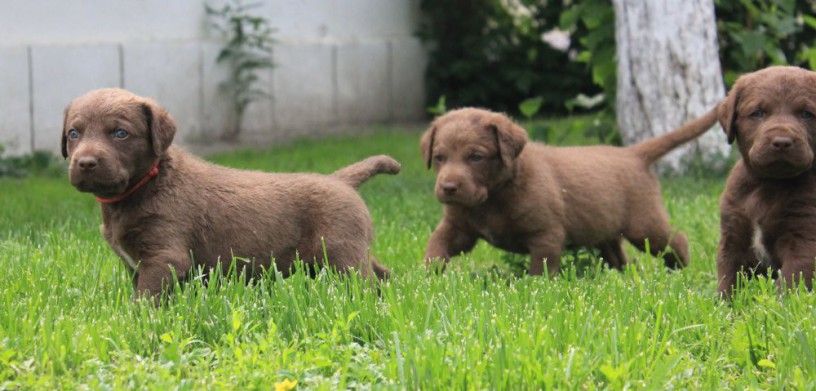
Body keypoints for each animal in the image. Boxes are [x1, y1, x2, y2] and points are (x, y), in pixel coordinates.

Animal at [61, 89, 398, 302]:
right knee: (381, 272)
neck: (149, 181)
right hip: (343, 253)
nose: (85, 163)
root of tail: (340, 180)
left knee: (364, 283)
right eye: (73, 134)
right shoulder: (137, 263)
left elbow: (145, 298)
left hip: (341, 252)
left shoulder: (164, 257)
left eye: (120, 134)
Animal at [424, 104, 716, 276]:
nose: (448, 188)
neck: (493, 196)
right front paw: (428, 277)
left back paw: (679, 270)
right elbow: (436, 245)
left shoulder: (546, 234)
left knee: (676, 240)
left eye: (476, 157)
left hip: (645, 225)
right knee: (618, 256)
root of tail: (633, 154)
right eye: (439, 157)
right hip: (605, 231)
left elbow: (540, 271)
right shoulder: (457, 227)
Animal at [716, 66, 812, 298]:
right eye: (758, 113)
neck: (769, 183)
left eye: (806, 114)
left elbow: (790, 282)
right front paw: (724, 304)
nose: (782, 142)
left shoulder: (804, 241)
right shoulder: (732, 238)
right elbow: (728, 280)